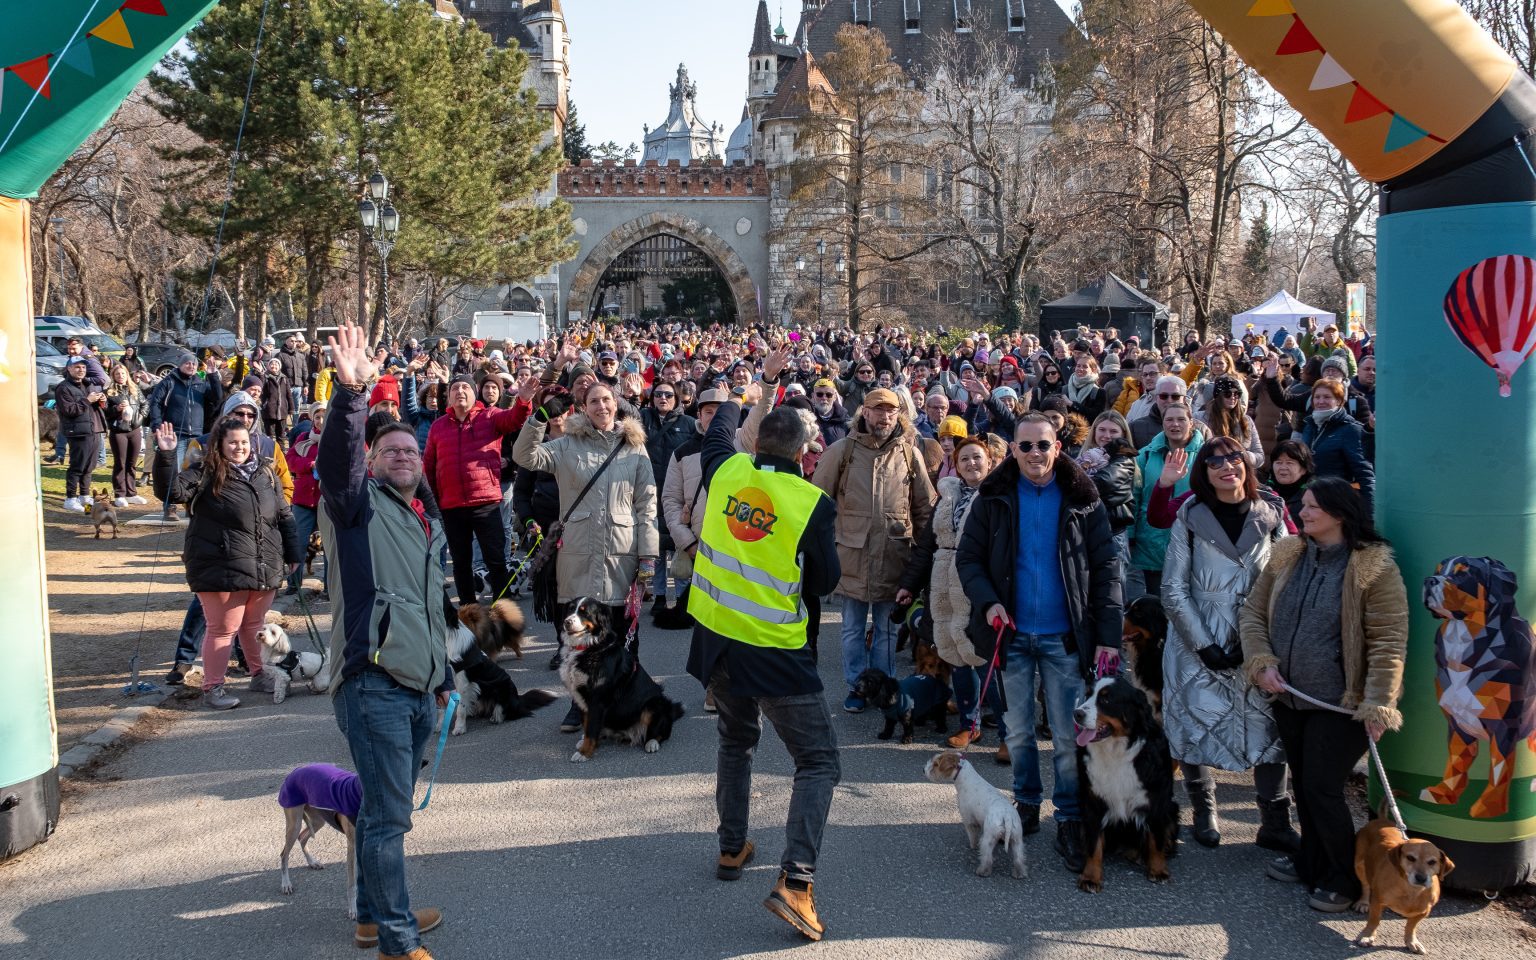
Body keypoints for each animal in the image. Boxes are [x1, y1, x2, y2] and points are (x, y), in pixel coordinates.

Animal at [559, 595, 685, 758]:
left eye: (584, 612)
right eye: (570, 609)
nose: (567, 622)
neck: (588, 647)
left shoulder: (597, 699)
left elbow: (591, 729)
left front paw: (584, 753)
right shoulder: (581, 699)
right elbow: (588, 726)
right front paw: (585, 744)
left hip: (654, 704)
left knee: (661, 733)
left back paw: (652, 743)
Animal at [1075, 672, 1179, 890]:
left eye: (1106, 699)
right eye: (1087, 694)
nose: (1076, 713)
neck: (1115, 751)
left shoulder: (1156, 800)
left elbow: (1156, 839)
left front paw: (1159, 870)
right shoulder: (1092, 801)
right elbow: (1093, 843)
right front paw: (1090, 876)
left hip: (1172, 808)